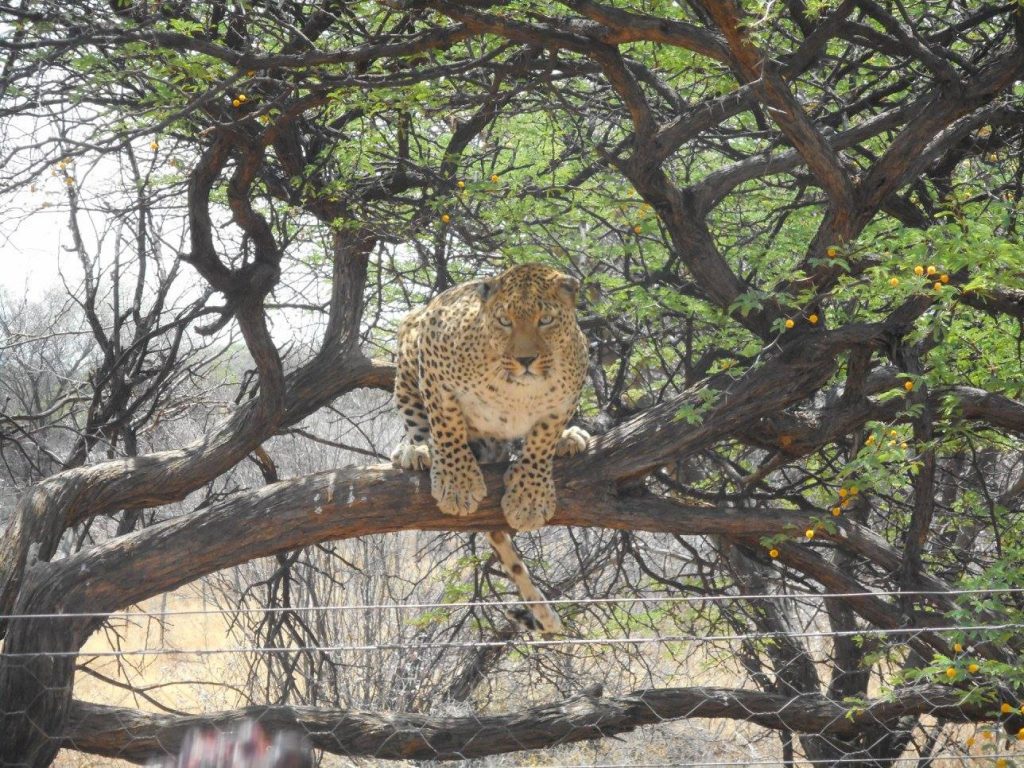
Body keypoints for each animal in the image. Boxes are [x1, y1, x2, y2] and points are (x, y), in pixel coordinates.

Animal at [389, 262, 589, 634]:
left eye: (545, 320)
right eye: (504, 321)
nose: (525, 359)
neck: (518, 390)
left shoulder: (565, 398)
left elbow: (542, 440)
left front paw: (529, 498)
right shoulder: (434, 361)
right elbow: (446, 425)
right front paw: (457, 485)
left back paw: (571, 438)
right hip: (408, 348)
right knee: (420, 423)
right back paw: (416, 452)